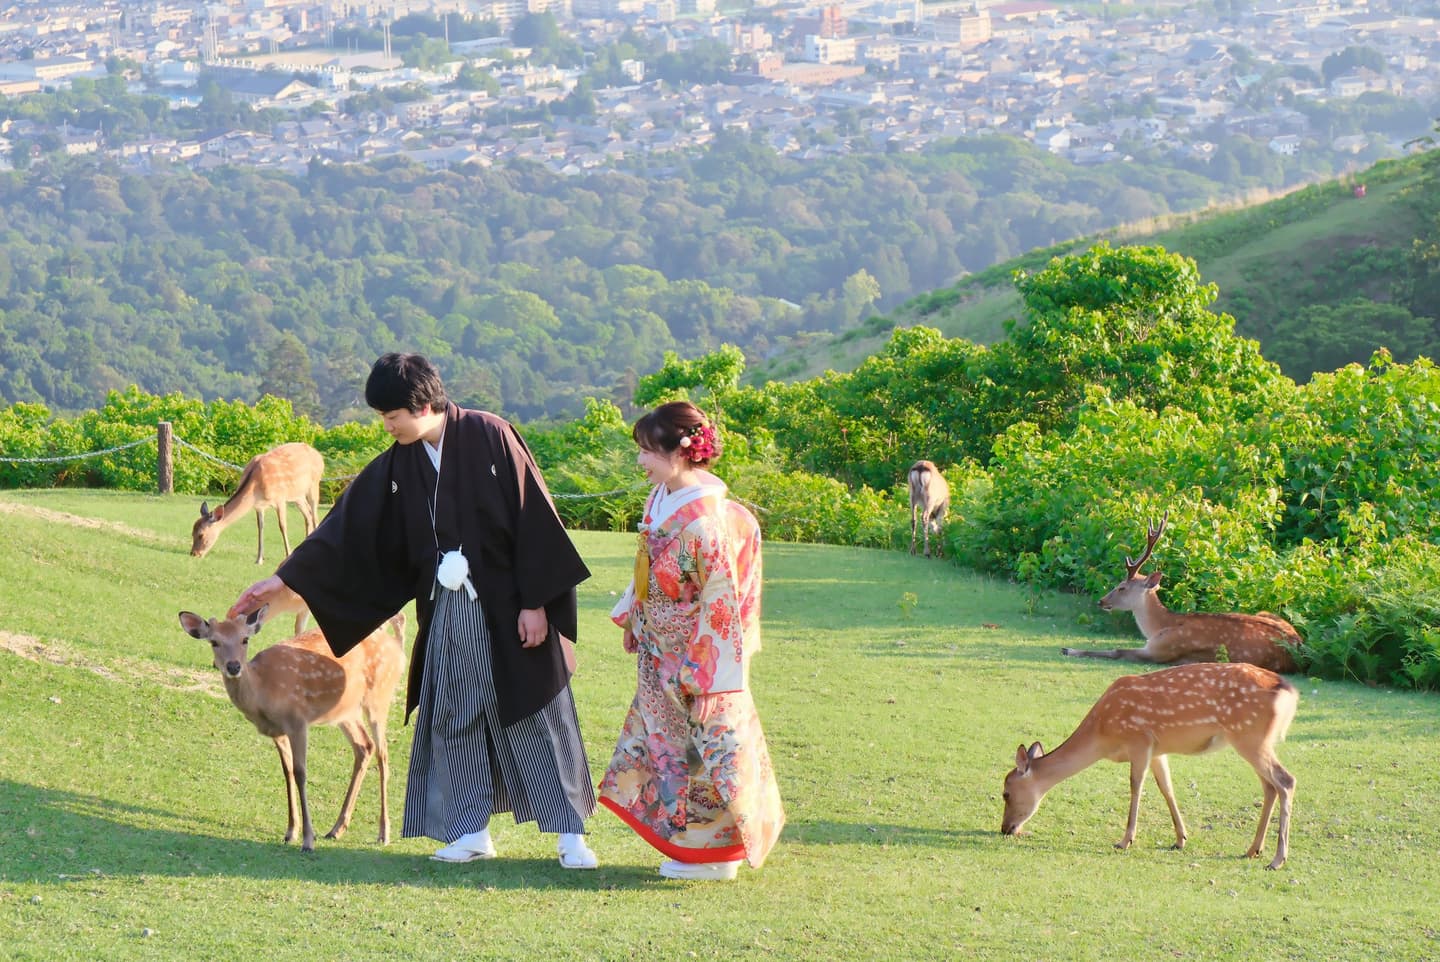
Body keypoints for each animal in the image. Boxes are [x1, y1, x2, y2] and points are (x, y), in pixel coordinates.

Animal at [178, 604, 406, 853]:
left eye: (245, 639)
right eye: (214, 642)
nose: (233, 666)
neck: (262, 693)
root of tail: (396, 649)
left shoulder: (298, 720)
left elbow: (300, 773)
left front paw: (307, 840)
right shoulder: (277, 731)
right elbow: (286, 772)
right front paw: (290, 831)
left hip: (379, 697)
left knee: (383, 754)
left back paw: (383, 833)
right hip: (346, 711)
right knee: (365, 746)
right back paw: (337, 829)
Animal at [191, 442, 324, 565]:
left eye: (201, 535)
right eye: (192, 532)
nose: (194, 553)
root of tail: (320, 456)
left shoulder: (280, 498)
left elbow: (282, 526)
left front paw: (287, 555)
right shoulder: (259, 506)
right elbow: (260, 528)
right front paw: (259, 559)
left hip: (314, 485)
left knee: (315, 516)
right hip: (298, 495)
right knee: (308, 514)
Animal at [1001, 662, 1298, 869]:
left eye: (1005, 792)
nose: (1005, 828)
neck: (1102, 734)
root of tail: (1290, 692)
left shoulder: (1139, 740)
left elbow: (1136, 786)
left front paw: (1124, 840)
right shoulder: (1157, 750)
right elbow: (1166, 787)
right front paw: (1180, 839)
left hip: (1249, 736)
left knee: (1286, 781)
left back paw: (1277, 859)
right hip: (1255, 740)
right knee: (1269, 786)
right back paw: (1253, 849)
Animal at [1061, 513, 1300, 673]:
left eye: (1122, 587)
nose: (1101, 601)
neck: (1160, 628)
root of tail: (1298, 646)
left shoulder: (1162, 650)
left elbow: (1117, 650)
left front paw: (1068, 649)